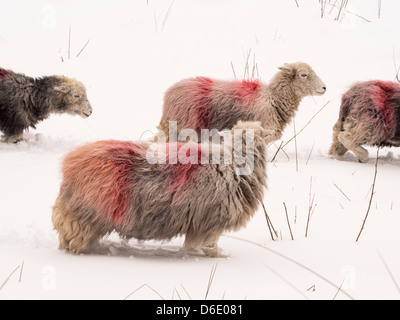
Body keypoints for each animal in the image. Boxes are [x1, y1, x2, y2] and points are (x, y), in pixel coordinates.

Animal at [51, 121, 274, 256]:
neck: (233, 163)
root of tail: (72, 162)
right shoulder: (209, 225)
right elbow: (208, 248)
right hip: (84, 217)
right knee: (69, 238)